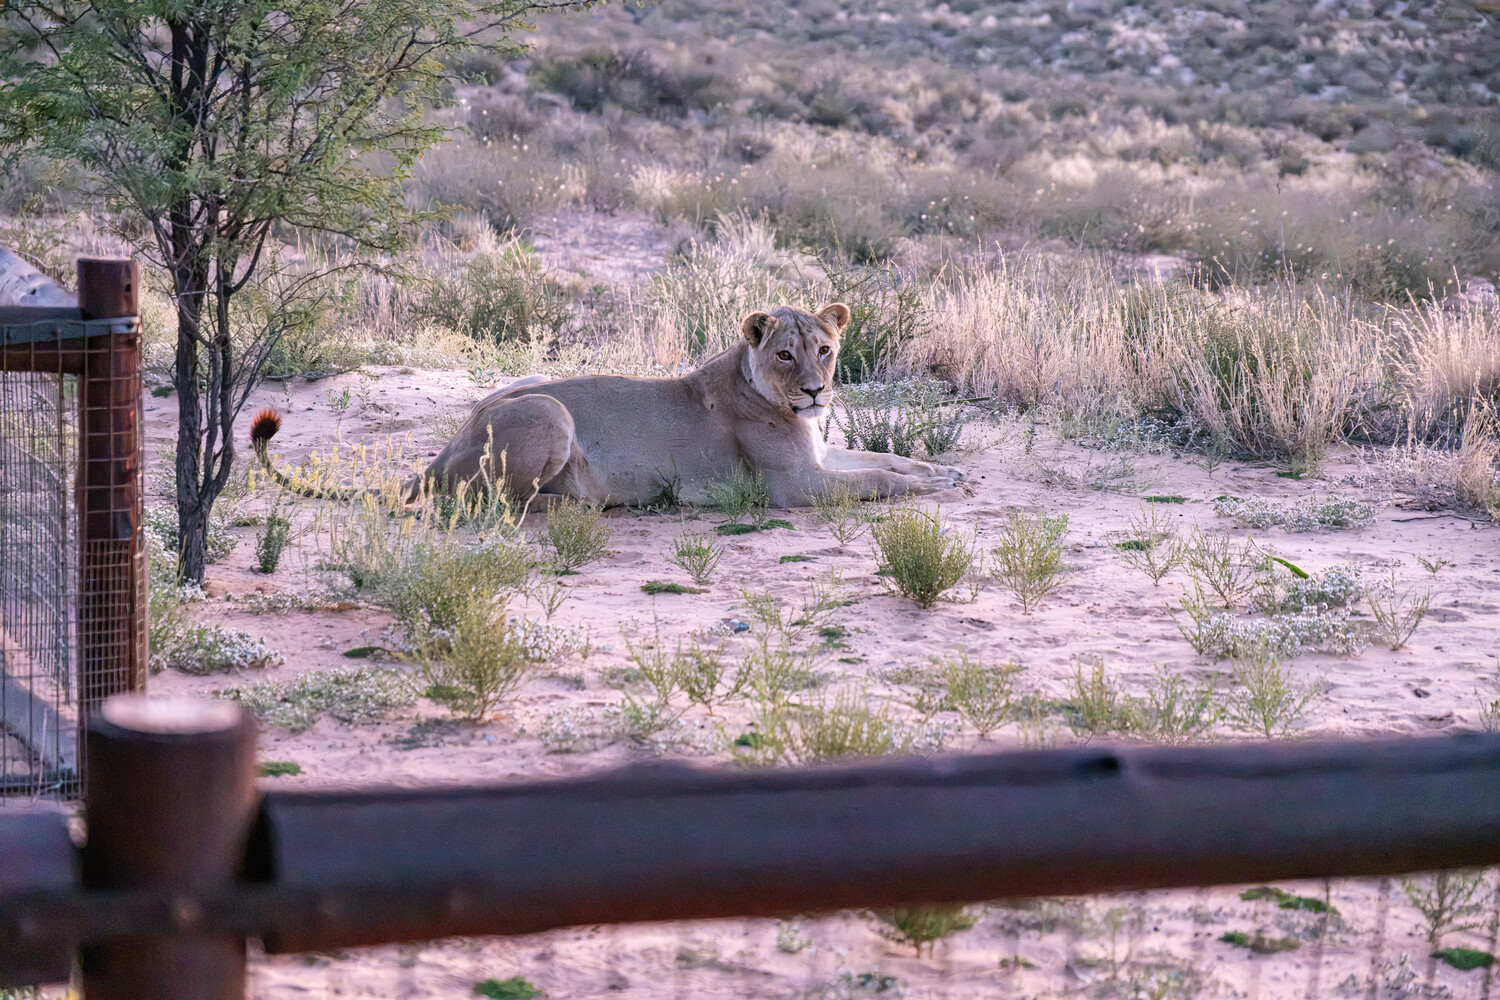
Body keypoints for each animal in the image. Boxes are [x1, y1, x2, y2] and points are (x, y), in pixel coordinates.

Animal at [251, 303, 963, 508]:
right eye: (785, 355)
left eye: (824, 350)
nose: (816, 391)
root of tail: (449, 442)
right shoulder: (795, 486)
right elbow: (874, 480)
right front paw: (933, 487)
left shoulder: (818, 457)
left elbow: (883, 460)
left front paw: (943, 471)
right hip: (549, 413)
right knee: (488, 501)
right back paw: (582, 502)